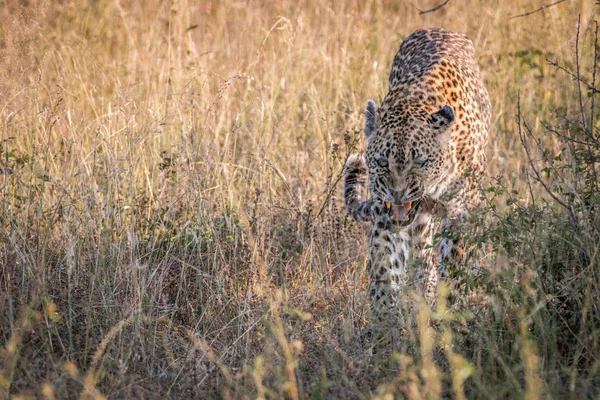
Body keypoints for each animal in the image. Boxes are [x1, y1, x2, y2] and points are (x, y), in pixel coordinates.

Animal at [344, 28, 490, 328]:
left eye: (420, 162)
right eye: (381, 161)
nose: (398, 193)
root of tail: (441, 29)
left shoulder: (460, 214)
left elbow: (454, 265)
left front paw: (449, 314)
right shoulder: (385, 214)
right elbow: (385, 265)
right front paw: (385, 320)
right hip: (419, 224)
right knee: (422, 256)